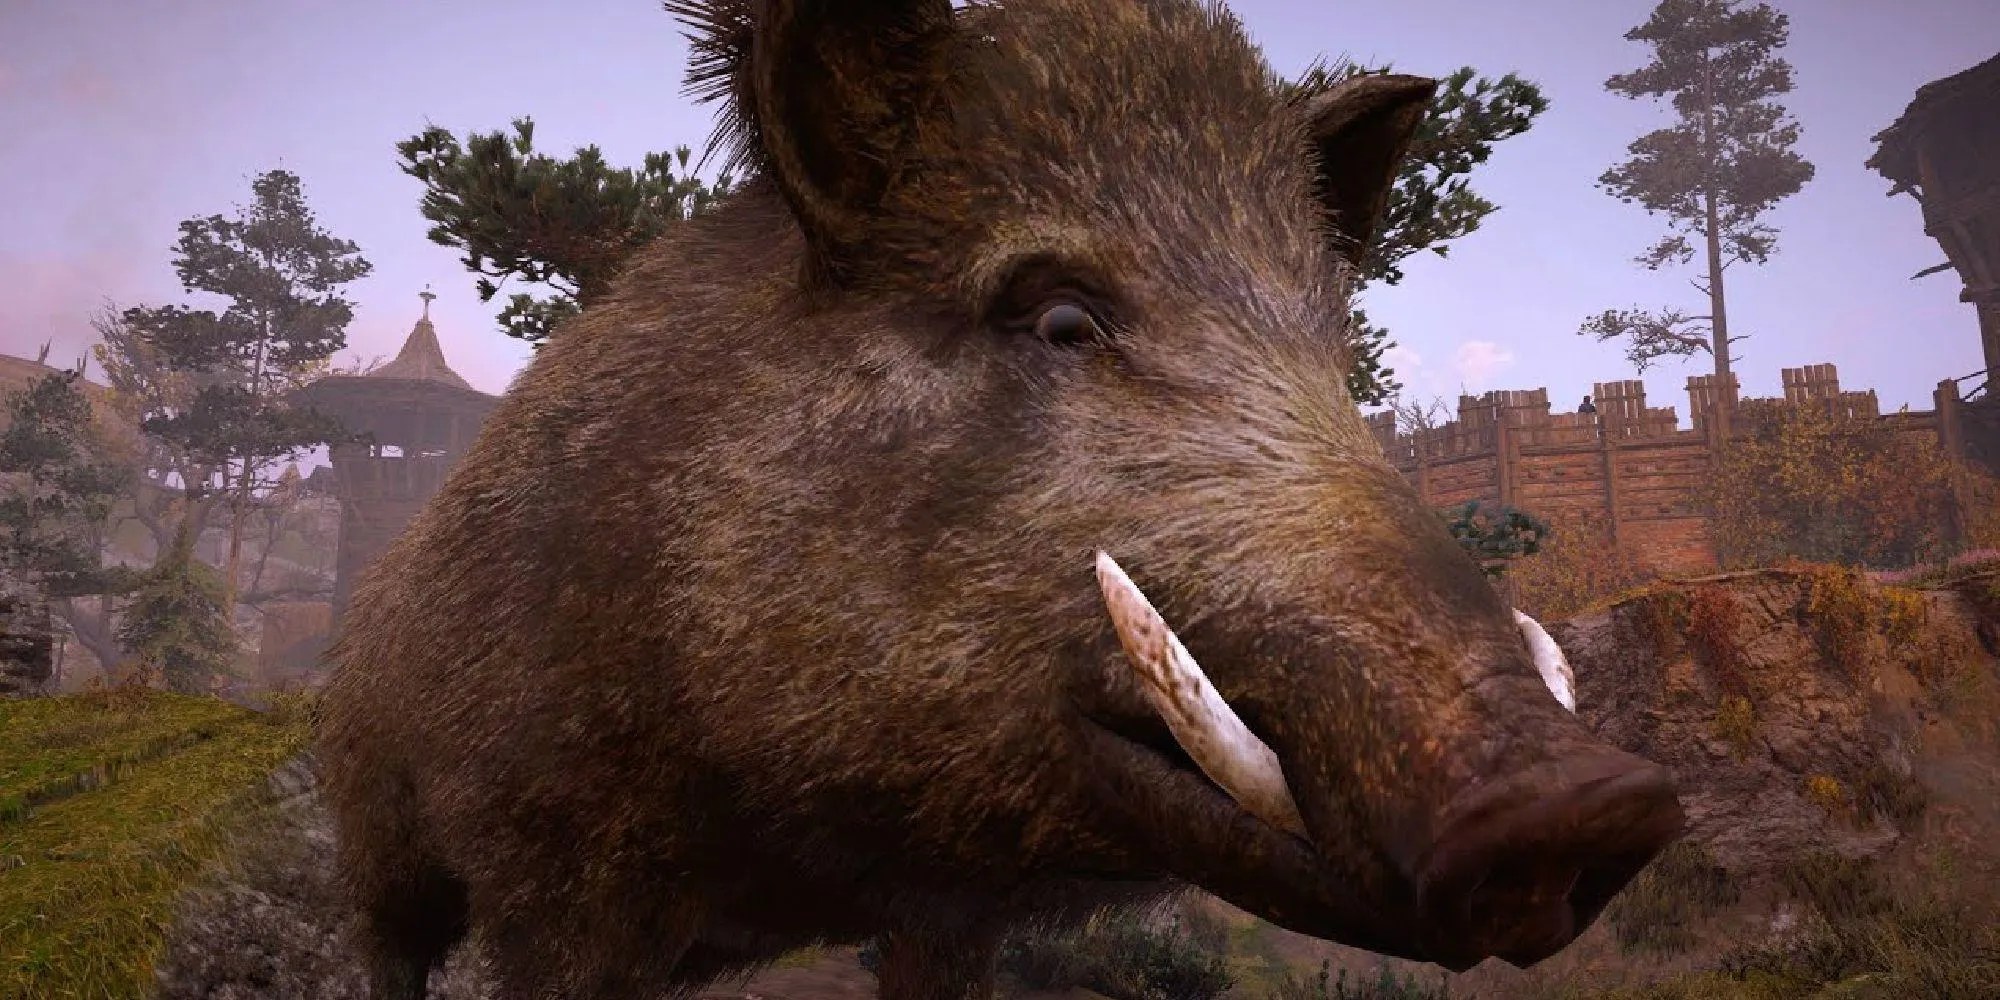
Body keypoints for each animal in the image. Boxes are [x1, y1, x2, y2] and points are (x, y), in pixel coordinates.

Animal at [315, 1, 1685, 998]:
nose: (1581, 796)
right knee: (386, 953)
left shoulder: (944, 913)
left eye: (1331, 348)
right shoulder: (554, 871)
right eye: (1059, 316)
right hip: (378, 842)